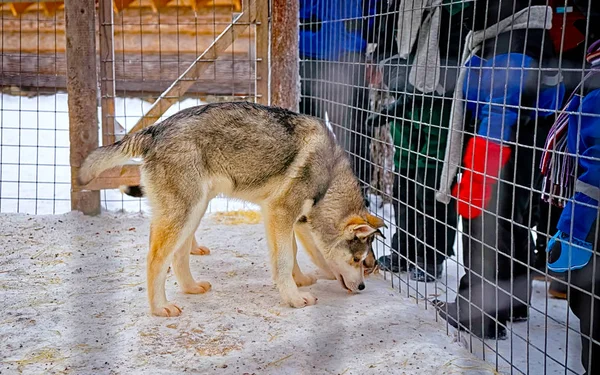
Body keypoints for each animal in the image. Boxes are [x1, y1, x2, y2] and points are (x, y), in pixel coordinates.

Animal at [77, 102, 382, 318]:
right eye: (358, 260)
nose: (363, 287)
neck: (328, 180)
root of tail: (155, 130)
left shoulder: (291, 219)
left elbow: (295, 253)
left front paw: (302, 279)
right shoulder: (280, 212)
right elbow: (284, 260)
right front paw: (295, 298)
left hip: (194, 211)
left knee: (178, 256)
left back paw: (191, 288)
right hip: (185, 213)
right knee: (156, 259)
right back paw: (160, 308)